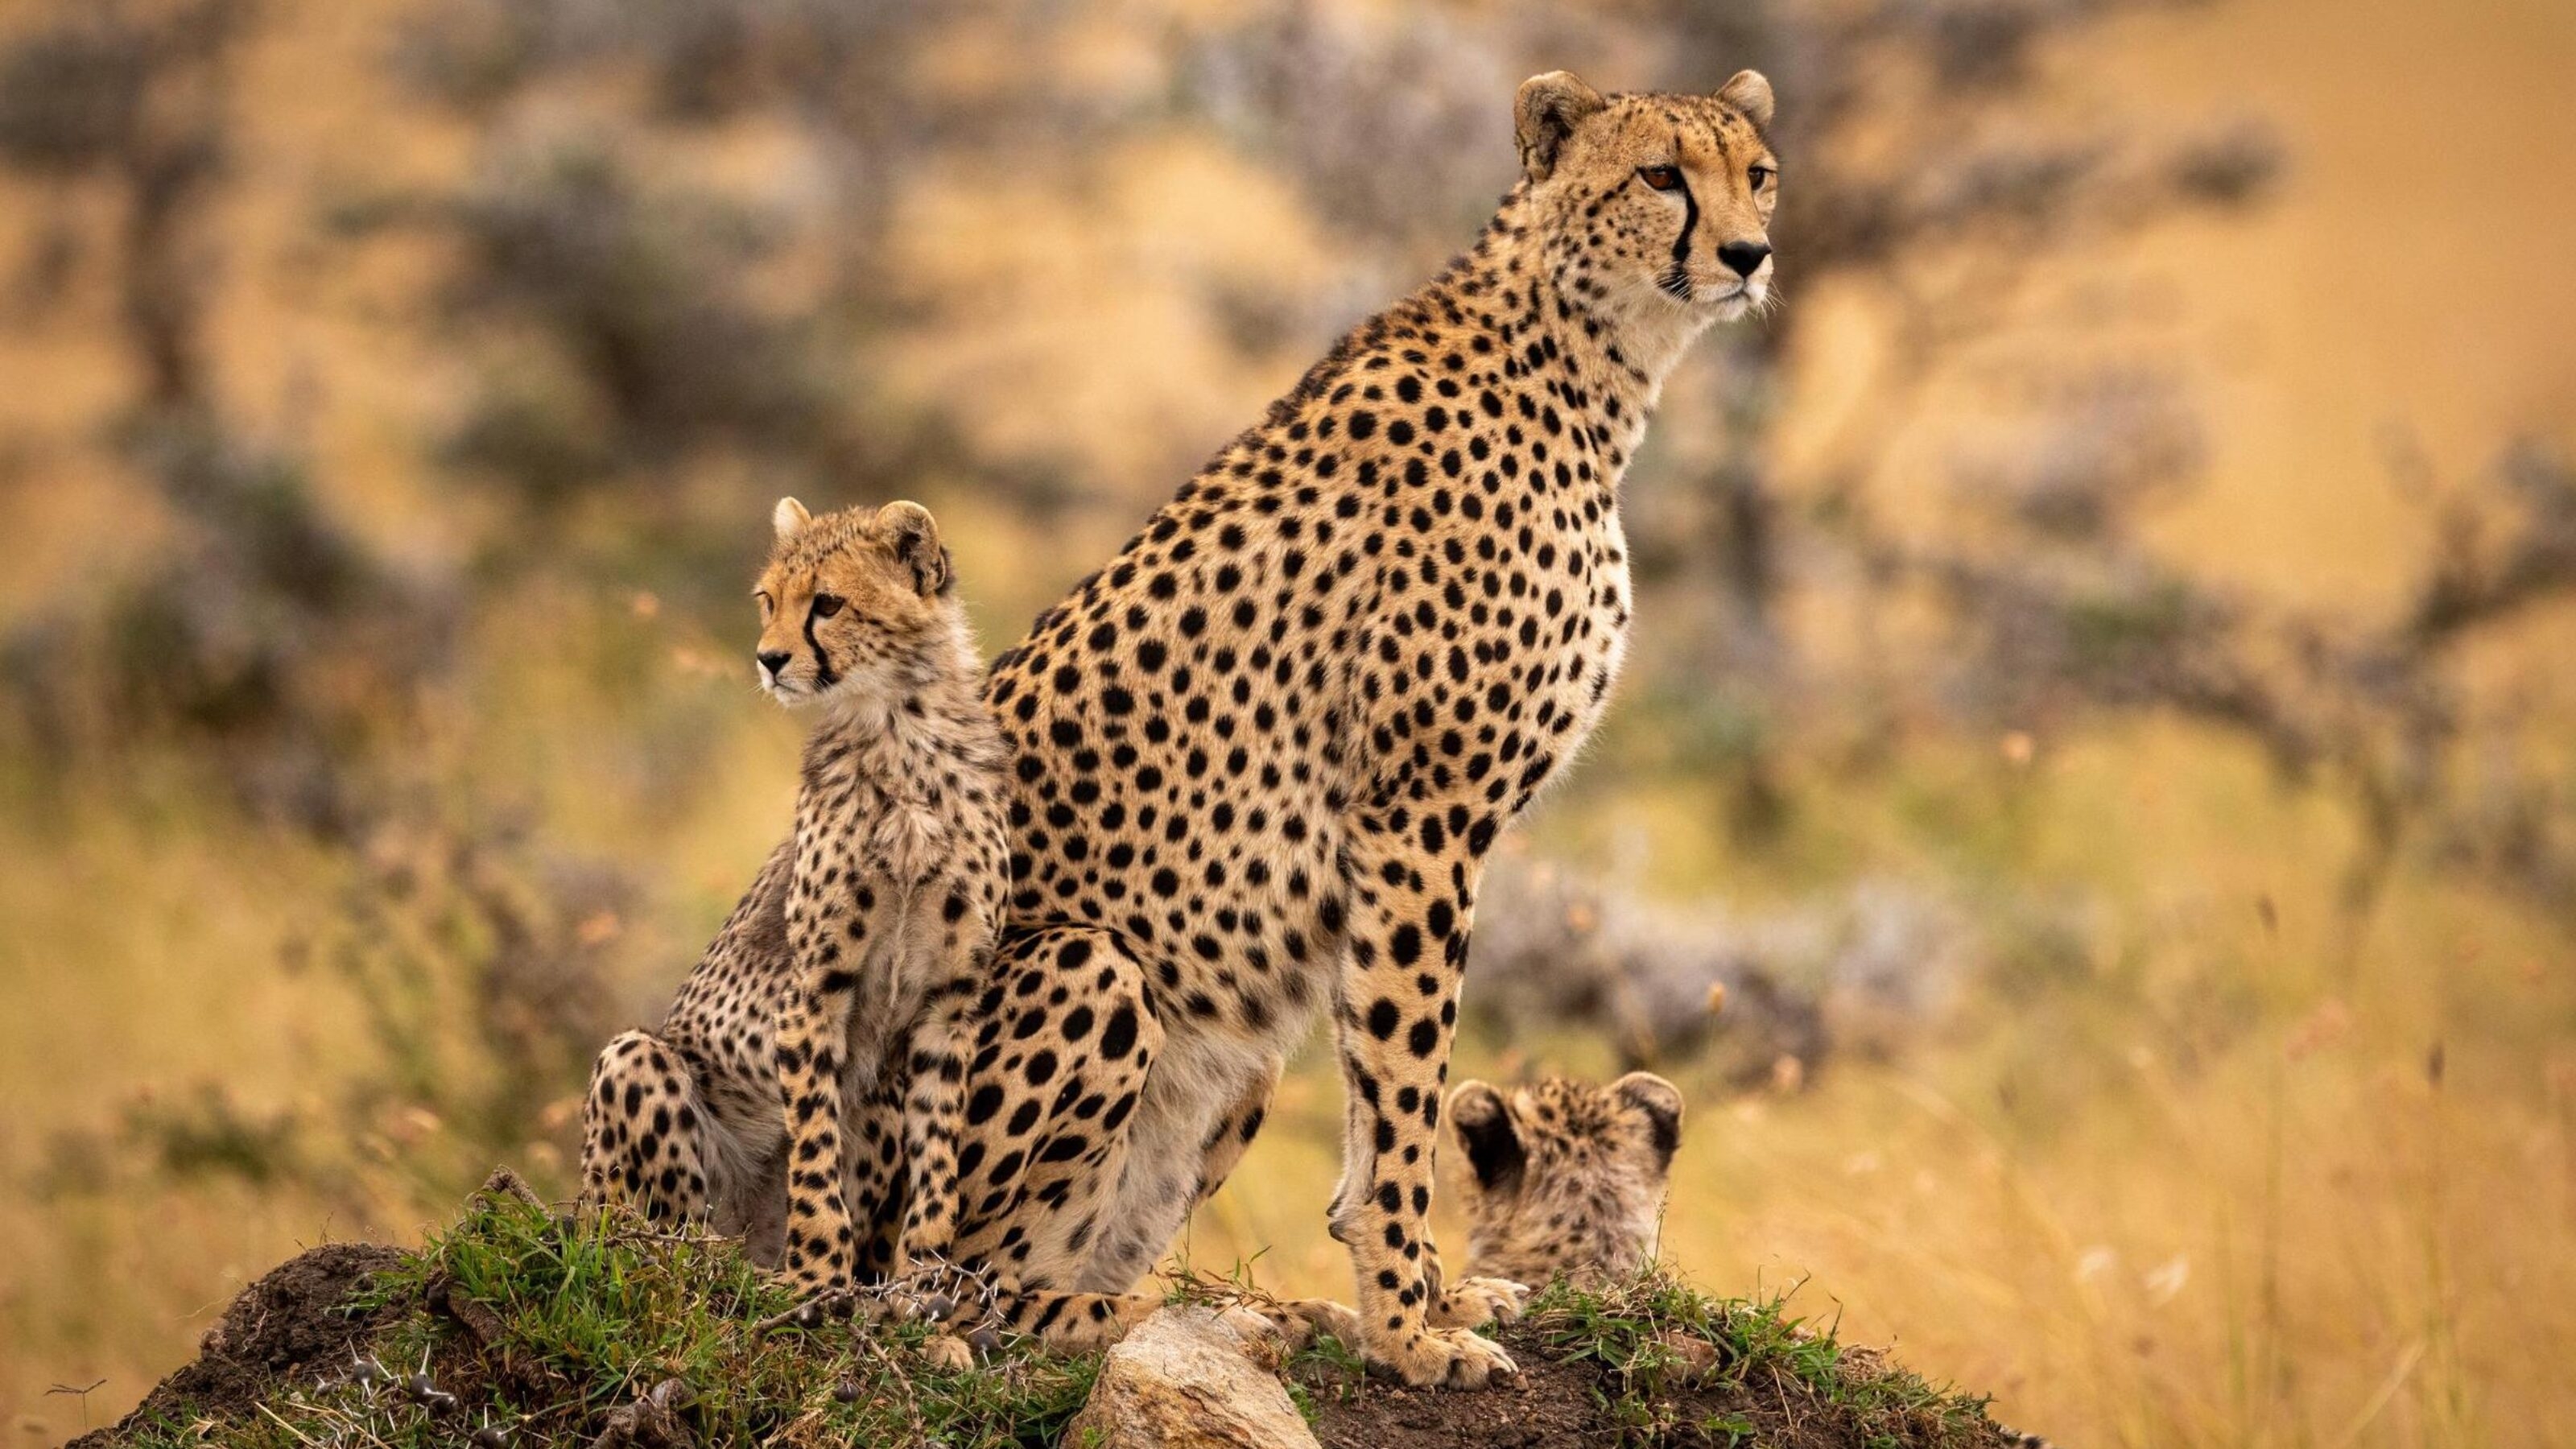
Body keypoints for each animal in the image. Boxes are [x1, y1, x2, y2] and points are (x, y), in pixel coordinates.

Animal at [578, 496, 1009, 1304]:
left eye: (828, 604)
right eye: (768, 601)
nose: (768, 659)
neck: (900, 731)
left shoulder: (949, 1000)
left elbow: (938, 1149)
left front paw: (925, 1281)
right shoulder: (813, 991)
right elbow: (814, 1146)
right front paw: (816, 1277)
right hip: (637, 1072)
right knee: (653, 1239)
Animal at [864, 65, 1785, 1387]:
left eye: (1756, 175)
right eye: (1661, 175)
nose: (1750, 254)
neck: (1582, 359)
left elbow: (1376, 1091)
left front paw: (1427, 1306)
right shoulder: (1420, 816)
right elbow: (1404, 1083)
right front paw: (1411, 1332)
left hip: (1234, 1059)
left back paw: (1281, 1317)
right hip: (1087, 975)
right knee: (958, 1296)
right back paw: (1219, 1321)